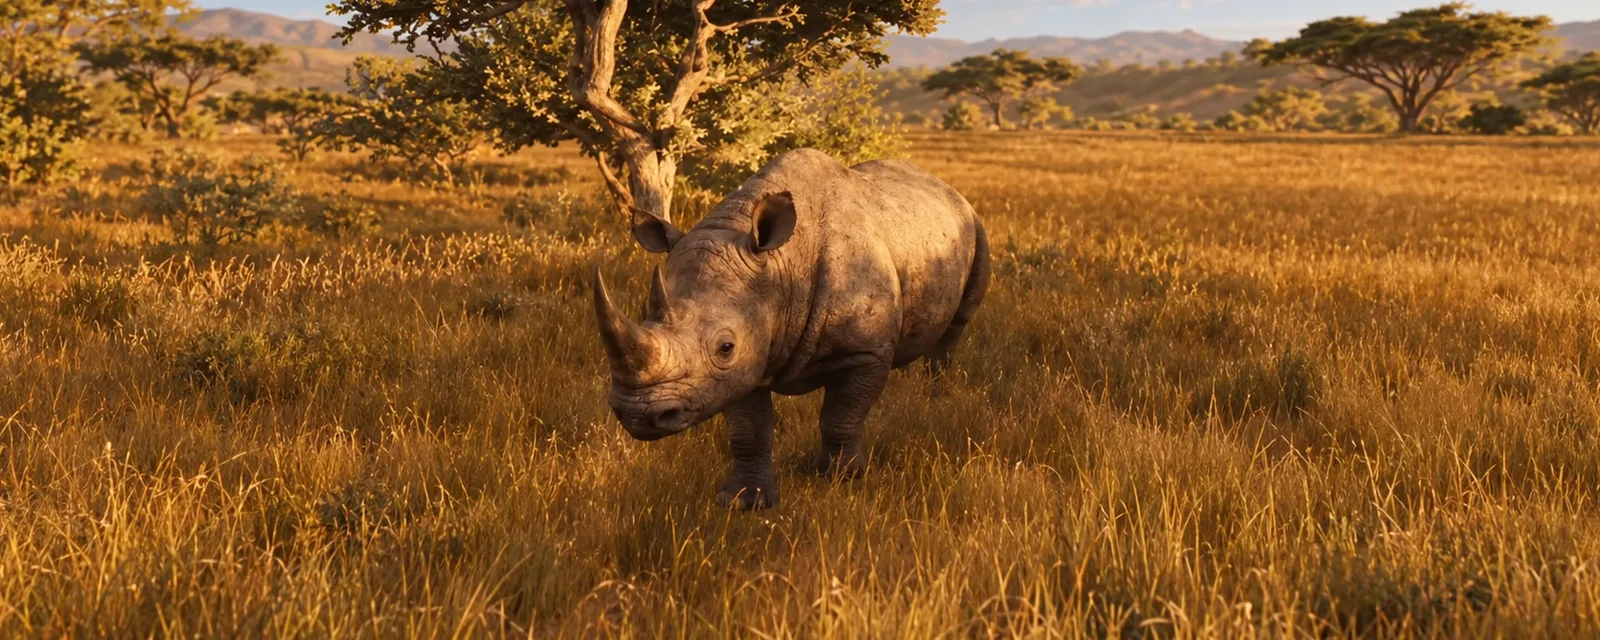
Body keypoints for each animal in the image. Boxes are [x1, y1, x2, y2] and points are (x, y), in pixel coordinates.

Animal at [592, 148, 989, 510]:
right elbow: (749, 432)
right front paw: (743, 501)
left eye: (725, 347)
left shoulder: (860, 352)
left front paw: (843, 480)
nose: (638, 416)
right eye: (644, 315)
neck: (779, 267)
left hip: (973, 222)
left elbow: (841, 418)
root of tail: (943, 185)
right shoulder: (745, 357)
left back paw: (936, 396)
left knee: (956, 324)